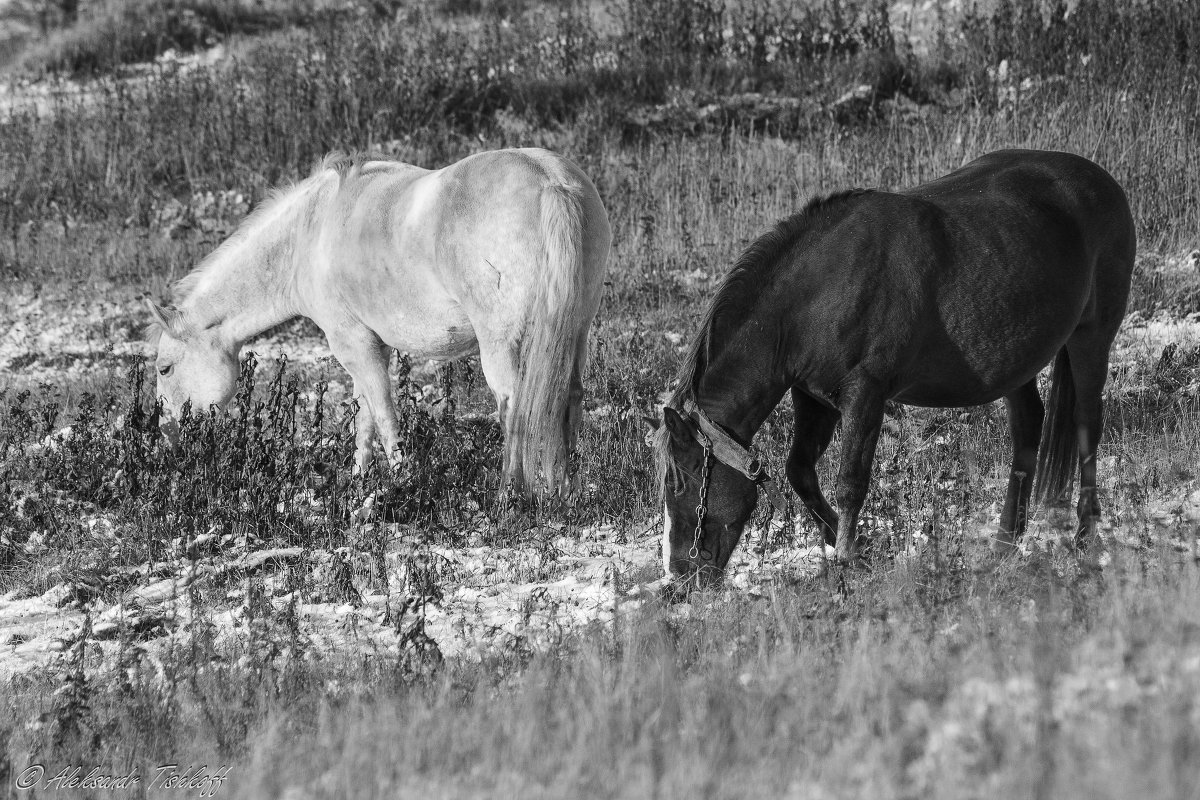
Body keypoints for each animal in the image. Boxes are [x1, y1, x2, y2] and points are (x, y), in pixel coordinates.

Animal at [150, 149, 614, 494]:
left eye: (164, 368)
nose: (168, 440)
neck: (309, 233)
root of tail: (552, 182)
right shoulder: (367, 347)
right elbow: (365, 419)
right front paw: (359, 481)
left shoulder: (354, 344)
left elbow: (386, 417)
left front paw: (400, 483)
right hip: (574, 333)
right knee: (567, 398)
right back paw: (564, 488)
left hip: (501, 345)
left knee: (515, 404)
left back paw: (509, 494)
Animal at [657, 148, 1132, 587]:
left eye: (681, 480)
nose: (680, 574)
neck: (815, 296)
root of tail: (1102, 181)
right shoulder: (814, 397)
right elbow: (801, 472)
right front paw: (856, 549)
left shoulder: (866, 395)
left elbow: (851, 482)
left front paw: (848, 561)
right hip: (1019, 359)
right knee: (1028, 427)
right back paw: (1005, 543)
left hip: (1091, 337)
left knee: (1087, 425)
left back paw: (1085, 539)